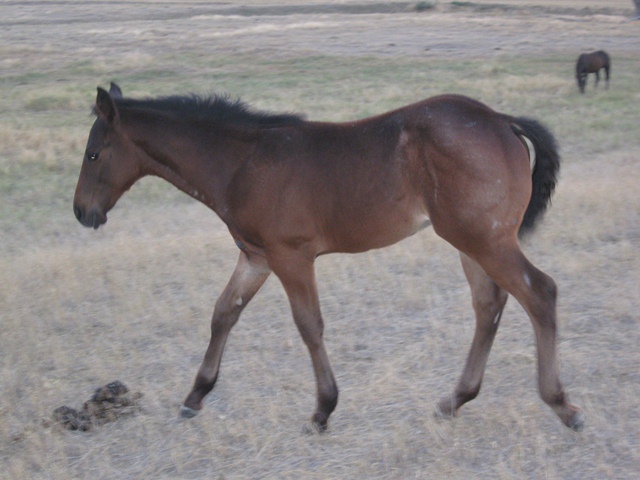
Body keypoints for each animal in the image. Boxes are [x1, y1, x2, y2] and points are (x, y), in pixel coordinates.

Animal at [73, 83, 584, 433]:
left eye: (94, 154)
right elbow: (223, 314)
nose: (82, 212)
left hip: (485, 239)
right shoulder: (255, 257)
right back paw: (455, 399)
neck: (241, 162)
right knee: (489, 305)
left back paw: (561, 404)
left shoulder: (291, 256)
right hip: (470, 241)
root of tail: (501, 120)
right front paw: (195, 395)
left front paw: (322, 410)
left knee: (540, 293)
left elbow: (308, 325)